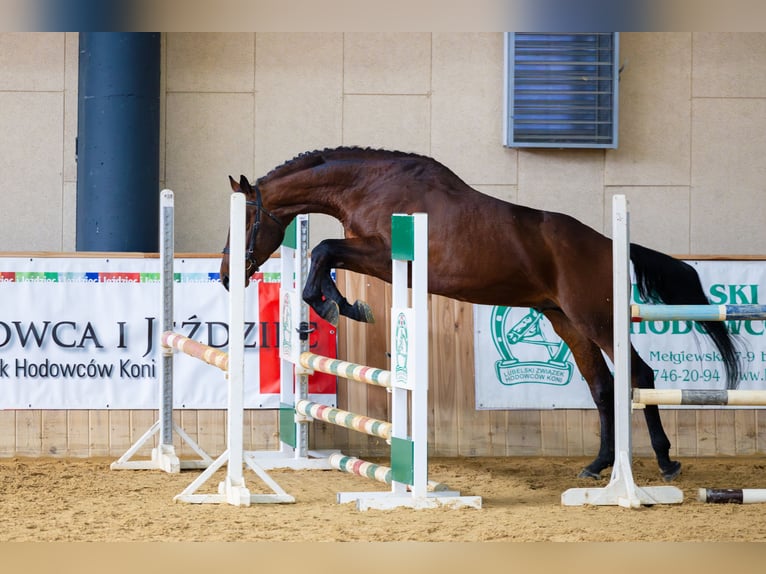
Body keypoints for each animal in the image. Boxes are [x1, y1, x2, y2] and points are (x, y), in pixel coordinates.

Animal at [219, 146, 740, 482]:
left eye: (244, 219)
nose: (225, 275)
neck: (370, 183)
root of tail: (611, 244)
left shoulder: (385, 254)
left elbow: (324, 249)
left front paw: (338, 303)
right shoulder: (378, 258)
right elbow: (324, 255)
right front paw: (339, 303)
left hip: (595, 317)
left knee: (641, 375)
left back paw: (665, 462)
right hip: (564, 320)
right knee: (602, 386)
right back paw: (598, 466)